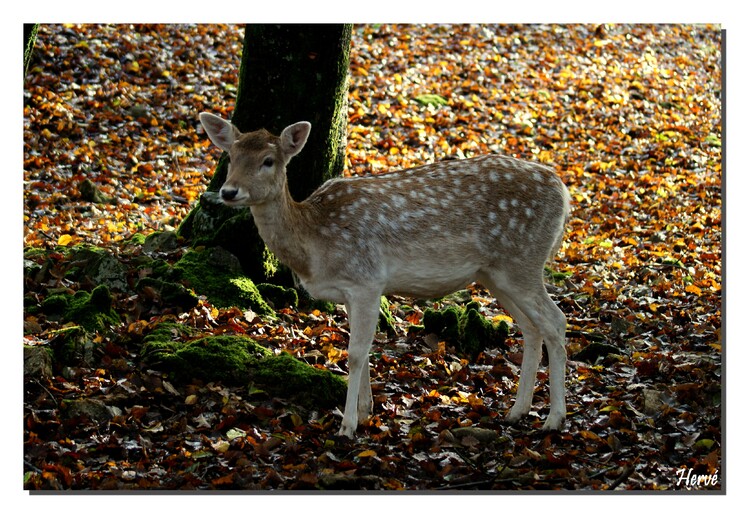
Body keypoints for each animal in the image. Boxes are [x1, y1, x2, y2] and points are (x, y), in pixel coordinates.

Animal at [198, 111, 568, 436]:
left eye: (268, 161)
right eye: (230, 157)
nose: (228, 191)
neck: (315, 246)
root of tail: (564, 193)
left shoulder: (367, 279)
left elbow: (355, 353)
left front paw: (347, 425)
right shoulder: (350, 290)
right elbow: (360, 349)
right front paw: (365, 412)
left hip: (523, 260)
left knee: (556, 320)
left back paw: (554, 419)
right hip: (496, 274)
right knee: (531, 328)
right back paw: (517, 411)